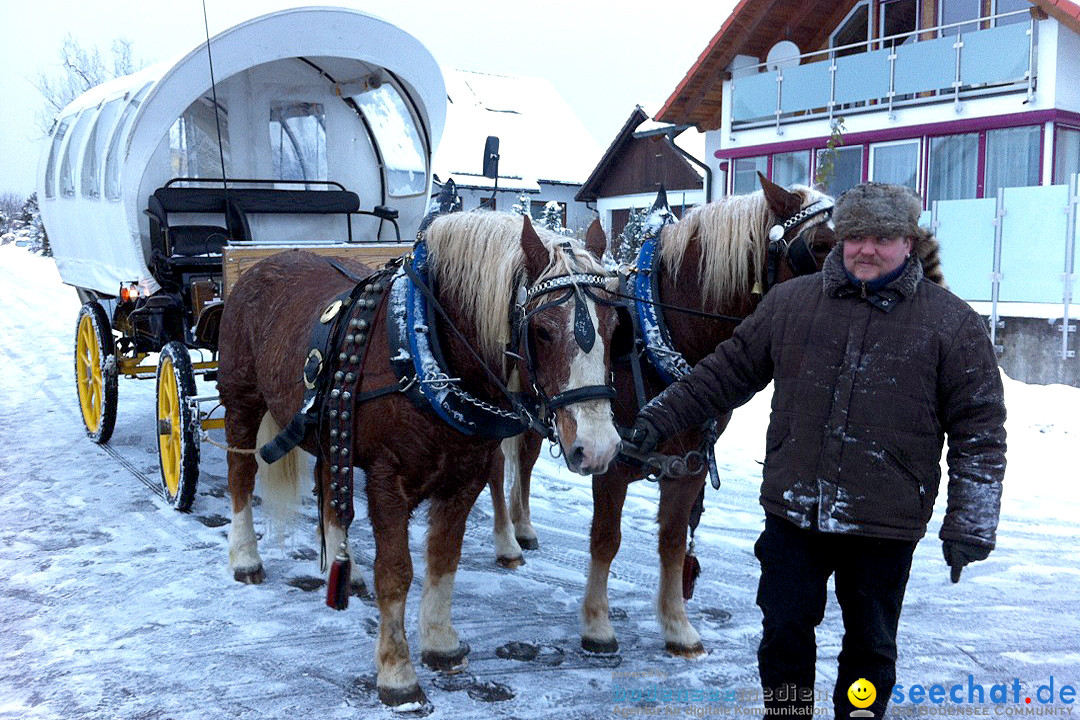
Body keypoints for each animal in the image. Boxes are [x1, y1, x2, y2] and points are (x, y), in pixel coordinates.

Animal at [216, 209, 622, 708]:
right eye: (542, 330)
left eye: (616, 327)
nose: (597, 447)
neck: (427, 352)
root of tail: (262, 265)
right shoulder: (388, 480)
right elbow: (396, 573)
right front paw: (396, 671)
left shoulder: (464, 477)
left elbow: (443, 560)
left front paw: (440, 642)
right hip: (242, 401)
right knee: (241, 473)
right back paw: (245, 557)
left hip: (330, 421)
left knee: (329, 480)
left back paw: (342, 566)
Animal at [486, 175, 838, 660]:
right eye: (819, 245)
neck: (660, 343)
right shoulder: (611, 459)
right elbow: (606, 539)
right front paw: (597, 624)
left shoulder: (688, 464)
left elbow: (672, 542)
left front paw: (677, 626)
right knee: (496, 466)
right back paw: (506, 542)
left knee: (524, 461)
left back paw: (523, 528)